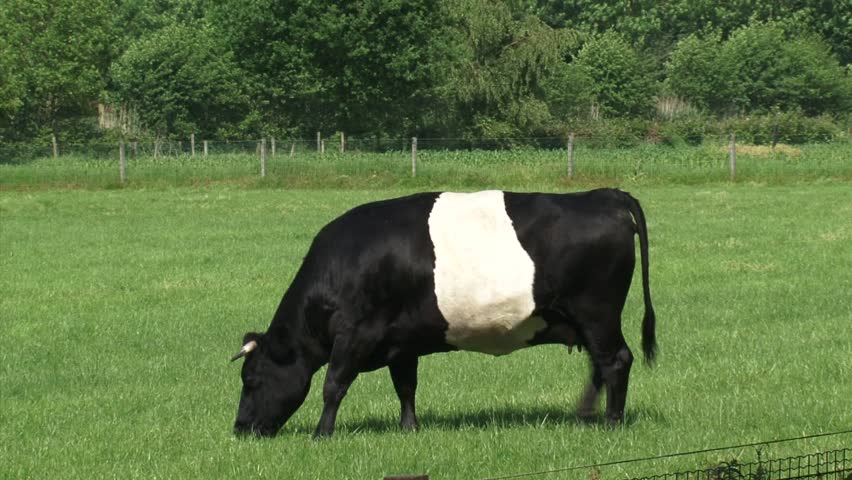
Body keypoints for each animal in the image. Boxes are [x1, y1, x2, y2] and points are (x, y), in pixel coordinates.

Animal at [231, 188, 656, 438]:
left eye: (250, 380)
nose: (240, 428)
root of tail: (604, 194)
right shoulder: (400, 341)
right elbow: (405, 386)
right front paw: (409, 429)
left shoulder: (356, 334)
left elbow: (333, 384)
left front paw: (322, 434)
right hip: (585, 320)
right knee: (600, 366)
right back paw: (585, 415)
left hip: (597, 313)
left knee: (616, 361)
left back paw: (611, 424)